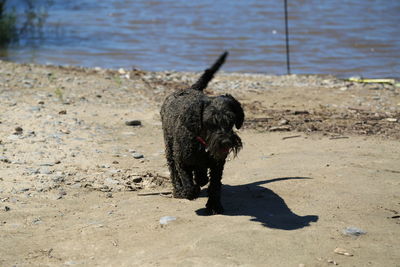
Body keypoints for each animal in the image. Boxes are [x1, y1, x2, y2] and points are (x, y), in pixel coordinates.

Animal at [159, 51, 244, 216]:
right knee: (174, 171)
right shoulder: (182, 161)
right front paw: (188, 192)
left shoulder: (217, 165)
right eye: (210, 122)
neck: (201, 143)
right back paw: (179, 190)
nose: (226, 142)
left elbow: (215, 185)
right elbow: (187, 181)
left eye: (231, 120)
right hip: (169, 148)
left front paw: (214, 205)